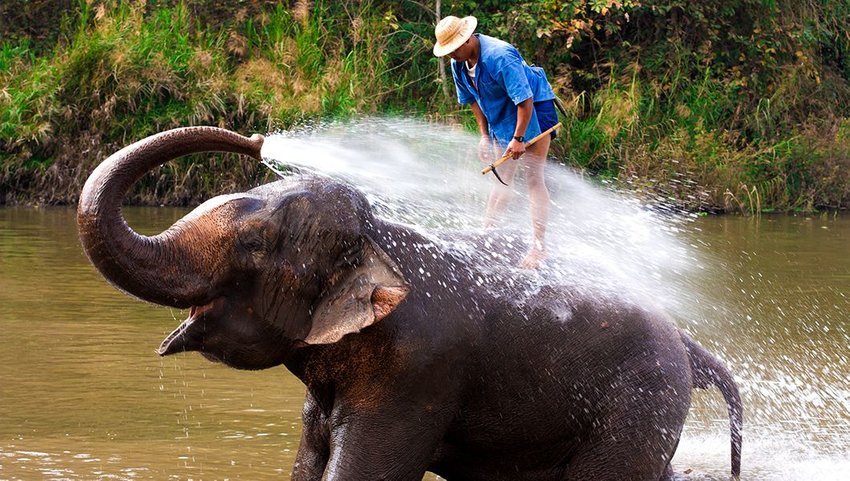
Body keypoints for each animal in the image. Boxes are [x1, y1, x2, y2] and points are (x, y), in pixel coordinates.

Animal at [79, 126, 744, 480]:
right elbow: (307, 463)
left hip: (642, 401)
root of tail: (688, 343)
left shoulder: (415, 369)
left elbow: (365, 471)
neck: (381, 240)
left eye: (254, 243)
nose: (256, 137)